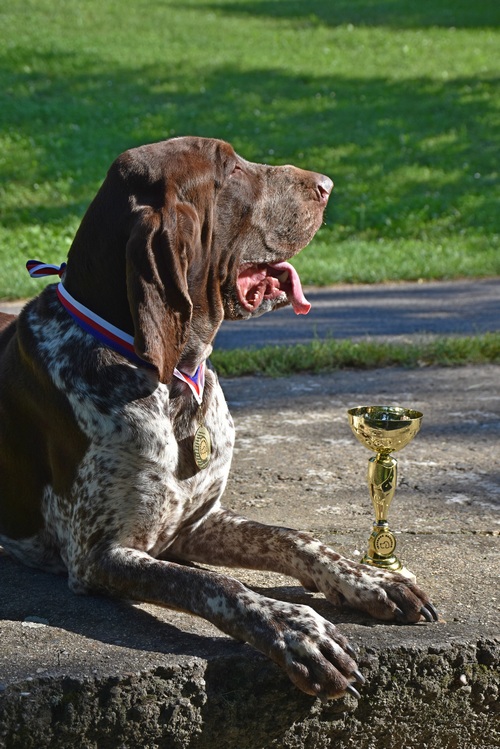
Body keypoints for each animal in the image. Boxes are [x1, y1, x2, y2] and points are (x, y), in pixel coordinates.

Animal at [0, 137, 437, 700]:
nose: (327, 185)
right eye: (230, 169)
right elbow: (214, 583)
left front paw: (370, 579)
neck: (167, 379)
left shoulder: (194, 522)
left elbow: (293, 537)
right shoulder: (99, 555)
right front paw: (297, 628)